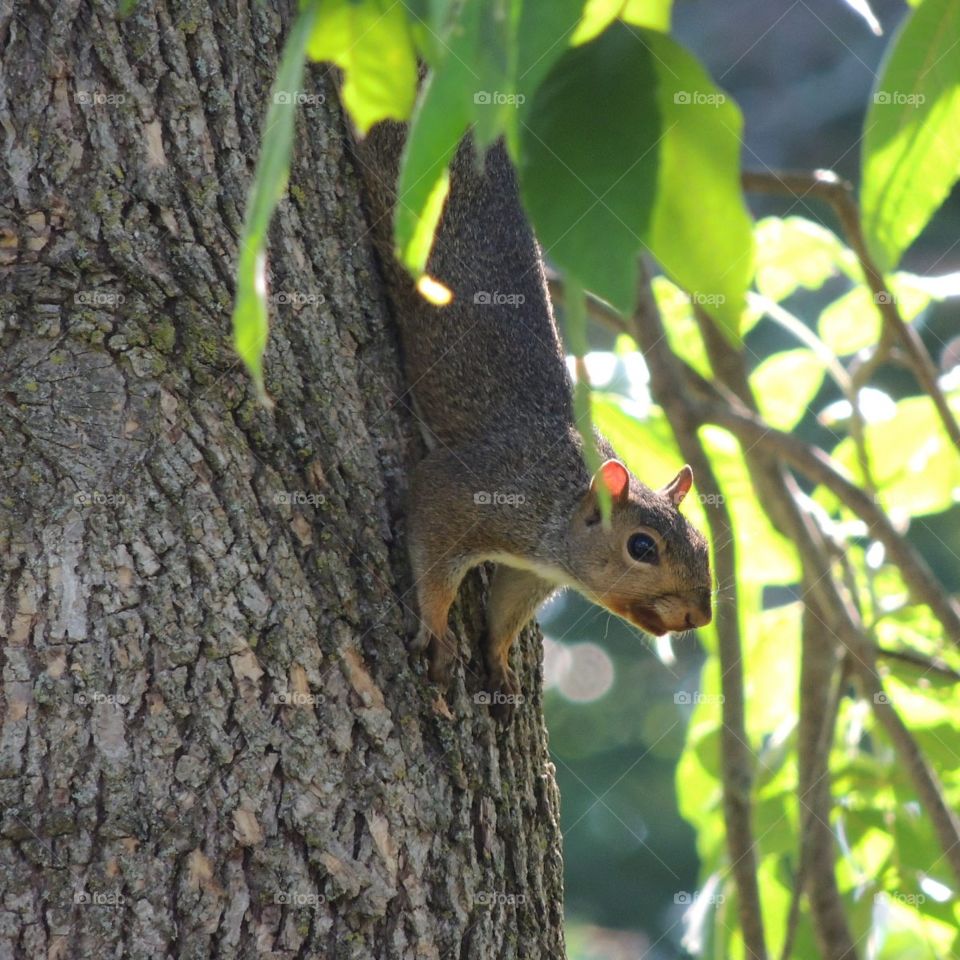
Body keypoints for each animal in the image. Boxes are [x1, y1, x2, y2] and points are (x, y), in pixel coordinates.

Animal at [356, 126, 712, 722]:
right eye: (642, 548)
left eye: (702, 544)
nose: (700, 616)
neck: (561, 499)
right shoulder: (472, 490)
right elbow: (431, 547)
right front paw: (437, 631)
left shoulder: (532, 569)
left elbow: (506, 608)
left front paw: (498, 661)